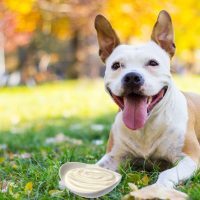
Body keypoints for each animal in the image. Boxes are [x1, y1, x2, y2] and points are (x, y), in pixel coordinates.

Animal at [94, 10, 200, 198]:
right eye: (116, 65)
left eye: (153, 63)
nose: (132, 77)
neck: (147, 126)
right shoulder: (113, 156)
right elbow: (94, 169)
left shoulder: (189, 158)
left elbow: (167, 173)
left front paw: (158, 188)